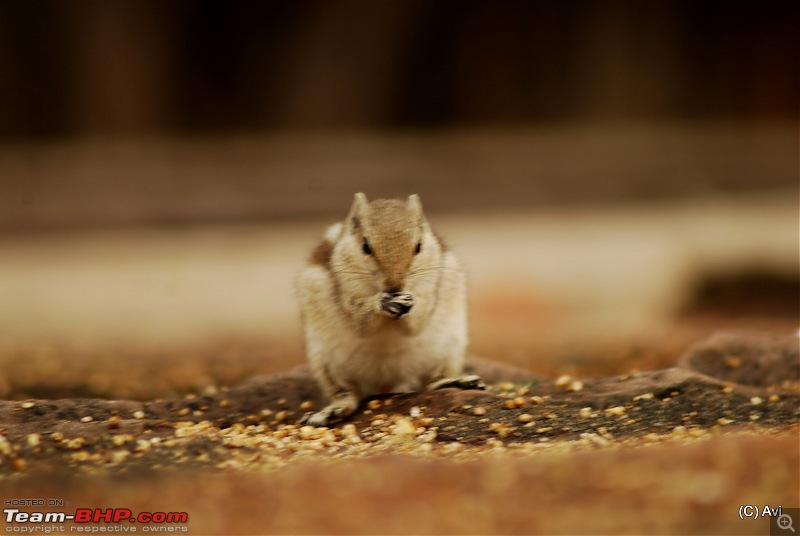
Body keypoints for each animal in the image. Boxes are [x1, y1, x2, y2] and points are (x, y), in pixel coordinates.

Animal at [294, 193, 482, 428]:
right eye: (365, 246)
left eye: (418, 246)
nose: (394, 286)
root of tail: (387, 384)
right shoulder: (345, 291)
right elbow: (360, 321)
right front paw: (382, 302)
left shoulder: (431, 288)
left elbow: (417, 322)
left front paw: (410, 303)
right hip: (326, 363)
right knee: (347, 395)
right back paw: (331, 411)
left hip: (450, 349)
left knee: (430, 383)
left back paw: (455, 382)